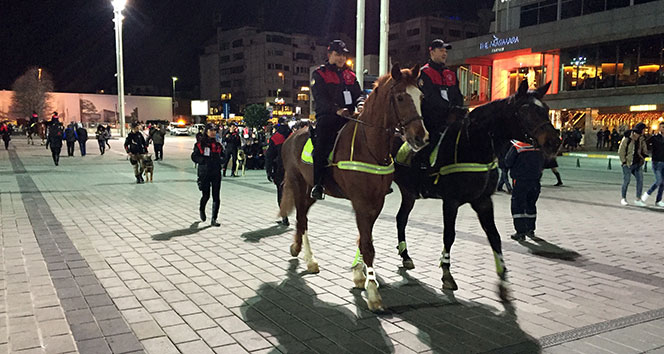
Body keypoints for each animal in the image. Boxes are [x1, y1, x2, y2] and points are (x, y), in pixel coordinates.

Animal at [280, 63, 430, 310]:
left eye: (421, 96)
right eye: (400, 97)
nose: (421, 138)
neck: (368, 145)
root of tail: (292, 136)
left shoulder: (376, 202)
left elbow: (363, 238)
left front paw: (360, 276)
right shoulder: (360, 202)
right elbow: (367, 244)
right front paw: (373, 292)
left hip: (311, 190)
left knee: (303, 220)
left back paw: (297, 249)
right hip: (298, 184)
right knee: (301, 219)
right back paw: (310, 260)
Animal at [394, 81, 560, 302]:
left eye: (547, 109)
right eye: (525, 110)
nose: (554, 142)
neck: (471, 145)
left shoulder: (483, 201)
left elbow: (494, 236)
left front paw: (503, 281)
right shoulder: (451, 201)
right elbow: (449, 235)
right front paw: (446, 273)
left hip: (409, 193)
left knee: (401, 218)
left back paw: (405, 256)